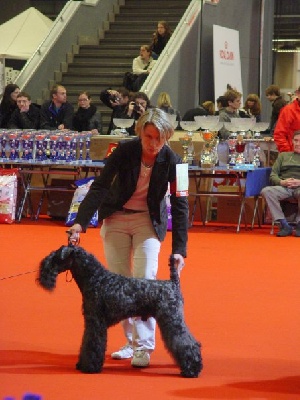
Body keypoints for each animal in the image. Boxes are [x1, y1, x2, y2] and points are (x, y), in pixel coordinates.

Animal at [37, 244, 202, 378]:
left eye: (55, 256)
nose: (43, 267)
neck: (96, 278)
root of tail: (173, 283)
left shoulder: (96, 323)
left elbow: (92, 344)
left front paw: (89, 367)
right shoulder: (90, 321)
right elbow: (86, 342)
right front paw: (81, 363)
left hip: (172, 320)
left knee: (187, 343)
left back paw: (192, 369)